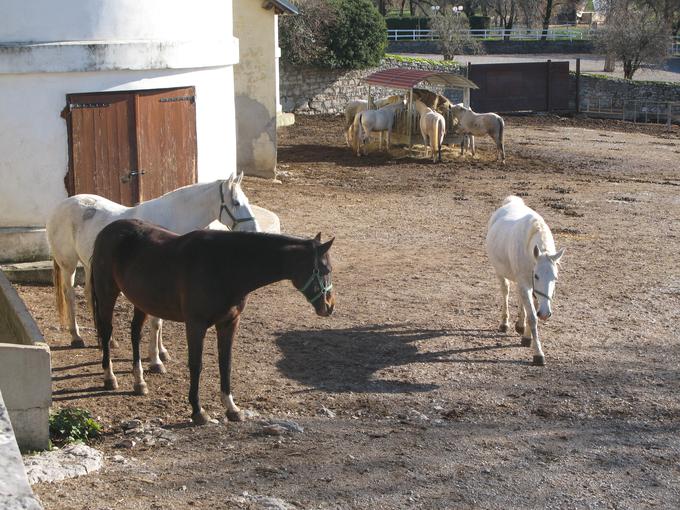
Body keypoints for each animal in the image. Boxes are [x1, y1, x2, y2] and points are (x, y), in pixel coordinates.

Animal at [44, 173, 258, 372]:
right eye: (236, 202)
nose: (254, 231)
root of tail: (61, 206)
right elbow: (155, 323)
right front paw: (155, 361)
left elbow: (160, 321)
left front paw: (161, 352)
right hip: (69, 265)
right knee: (70, 295)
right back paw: (76, 336)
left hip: (92, 267)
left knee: (92, 297)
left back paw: (106, 340)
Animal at [90, 217, 334, 424]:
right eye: (324, 269)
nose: (329, 306)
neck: (224, 266)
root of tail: (107, 230)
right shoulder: (195, 325)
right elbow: (196, 365)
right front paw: (198, 411)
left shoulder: (229, 323)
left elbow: (226, 363)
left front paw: (232, 408)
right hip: (107, 294)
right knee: (107, 331)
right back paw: (110, 377)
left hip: (141, 301)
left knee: (135, 332)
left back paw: (139, 381)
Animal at [486, 196, 564, 366]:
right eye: (537, 276)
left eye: (555, 278)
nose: (545, 313)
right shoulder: (526, 284)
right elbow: (533, 317)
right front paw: (538, 354)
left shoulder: (532, 288)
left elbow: (531, 311)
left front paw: (527, 337)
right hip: (501, 273)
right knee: (506, 291)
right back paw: (505, 323)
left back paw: (520, 325)